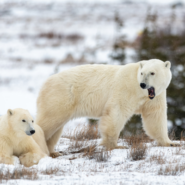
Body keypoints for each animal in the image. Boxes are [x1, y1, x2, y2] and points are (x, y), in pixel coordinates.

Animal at [35, 59, 179, 155]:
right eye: (142, 73)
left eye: (152, 73)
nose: (143, 84)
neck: (139, 90)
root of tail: (45, 83)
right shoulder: (125, 88)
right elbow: (117, 112)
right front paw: (116, 146)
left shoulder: (155, 97)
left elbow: (155, 117)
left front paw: (170, 142)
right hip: (62, 97)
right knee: (49, 122)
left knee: (55, 129)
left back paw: (53, 152)